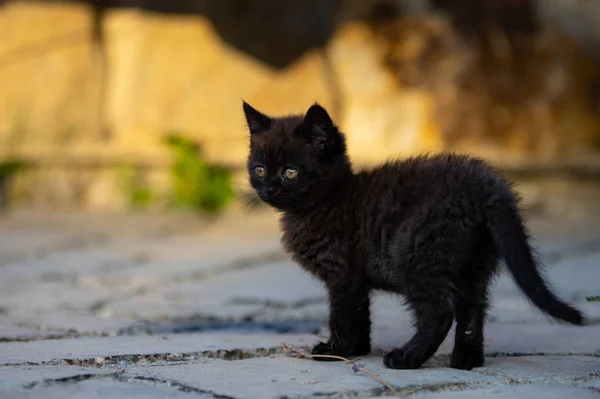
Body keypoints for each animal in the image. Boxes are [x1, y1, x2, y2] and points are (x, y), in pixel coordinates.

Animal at [241, 101, 584, 370]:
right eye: (259, 170)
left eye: (290, 172)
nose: (268, 189)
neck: (327, 201)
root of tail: (486, 188)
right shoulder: (356, 279)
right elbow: (360, 313)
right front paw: (357, 350)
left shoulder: (342, 274)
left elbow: (342, 314)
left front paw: (334, 352)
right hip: (475, 264)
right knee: (473, 309)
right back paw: (466, 361)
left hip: (414, 254)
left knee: (439, 311)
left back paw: (406, 358)